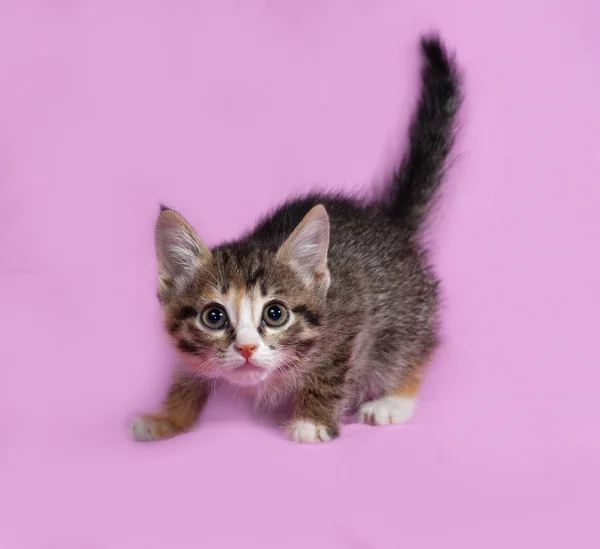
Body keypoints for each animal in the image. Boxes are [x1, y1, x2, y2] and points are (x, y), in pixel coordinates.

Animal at [132, 35, 464, 440]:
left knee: (411, 346)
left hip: (404, 312)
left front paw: (312, 421)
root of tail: (389, 222)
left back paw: (393, 400)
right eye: (214, 317)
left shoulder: (350, 317)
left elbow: (332, 370)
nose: (246, 348)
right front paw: (168, 416)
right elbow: (186, 374)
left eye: (275, 314)